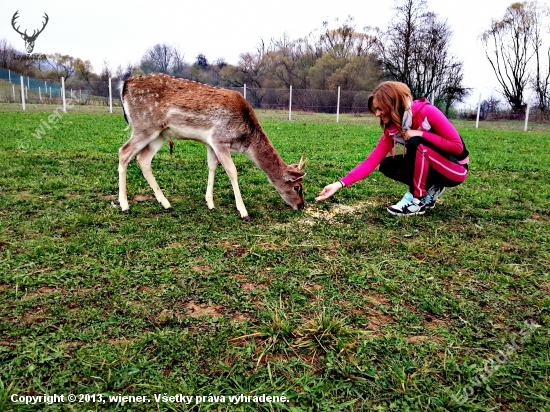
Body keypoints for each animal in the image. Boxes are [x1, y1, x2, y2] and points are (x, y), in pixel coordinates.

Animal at [118, 74, 306, 222]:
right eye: (297, 187)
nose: (301, 206)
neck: (244, 140)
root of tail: (126, 84)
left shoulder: (210, 142)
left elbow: (212, 167)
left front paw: (210, 204)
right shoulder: (219, 139)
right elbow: (232, 171)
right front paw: (244, 213)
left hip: (161, 134)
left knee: (143, 159)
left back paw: (166, 204)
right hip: (145, 126)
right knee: (124, 152)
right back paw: (125, 206)